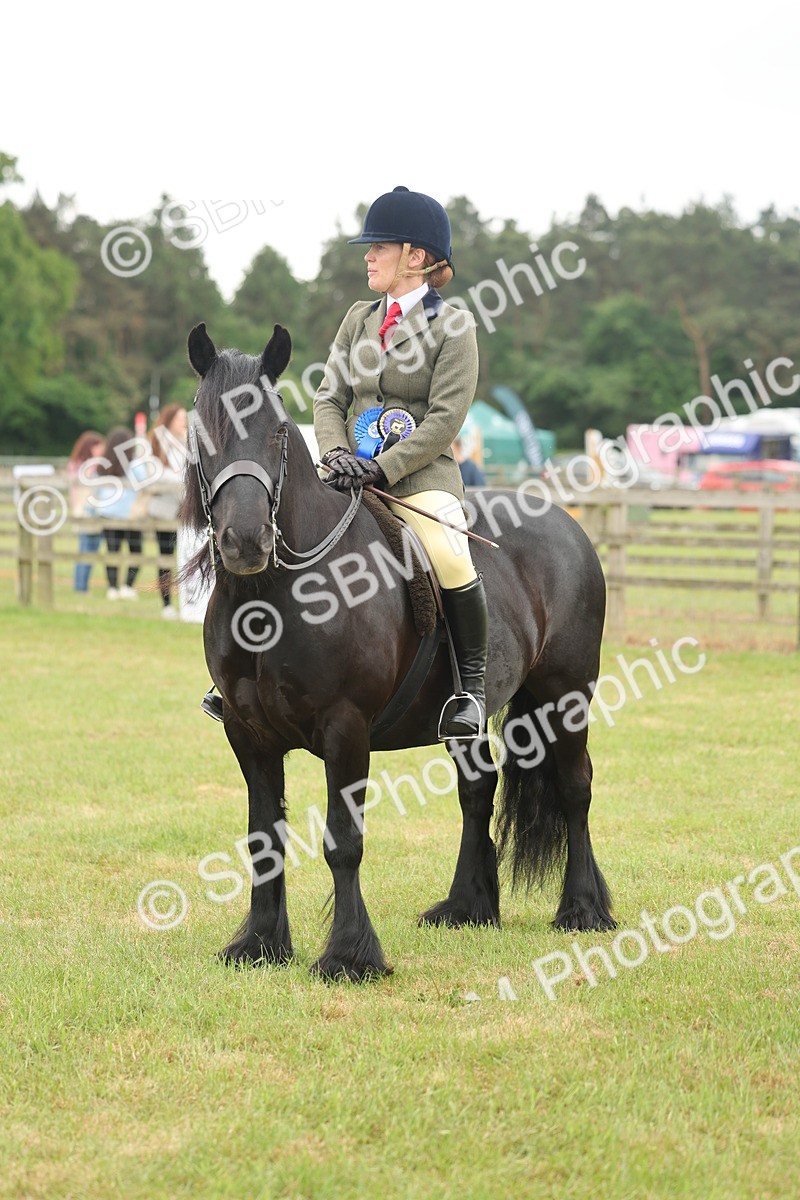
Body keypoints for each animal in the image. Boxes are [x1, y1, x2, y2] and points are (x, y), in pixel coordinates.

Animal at [179, 321, 616, 981]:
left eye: (279, 432)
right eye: (202, 431)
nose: (246, 542)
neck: (274, 598)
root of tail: (566, 523)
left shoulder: (346, 730)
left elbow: (343, 841)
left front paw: (349, 955)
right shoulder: (248, 734)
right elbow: (264, 839)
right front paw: (259, 945)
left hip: (564, 697)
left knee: (575, 788)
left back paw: (584, 910)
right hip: (467, 716)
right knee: (477, 790)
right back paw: (466, 907)